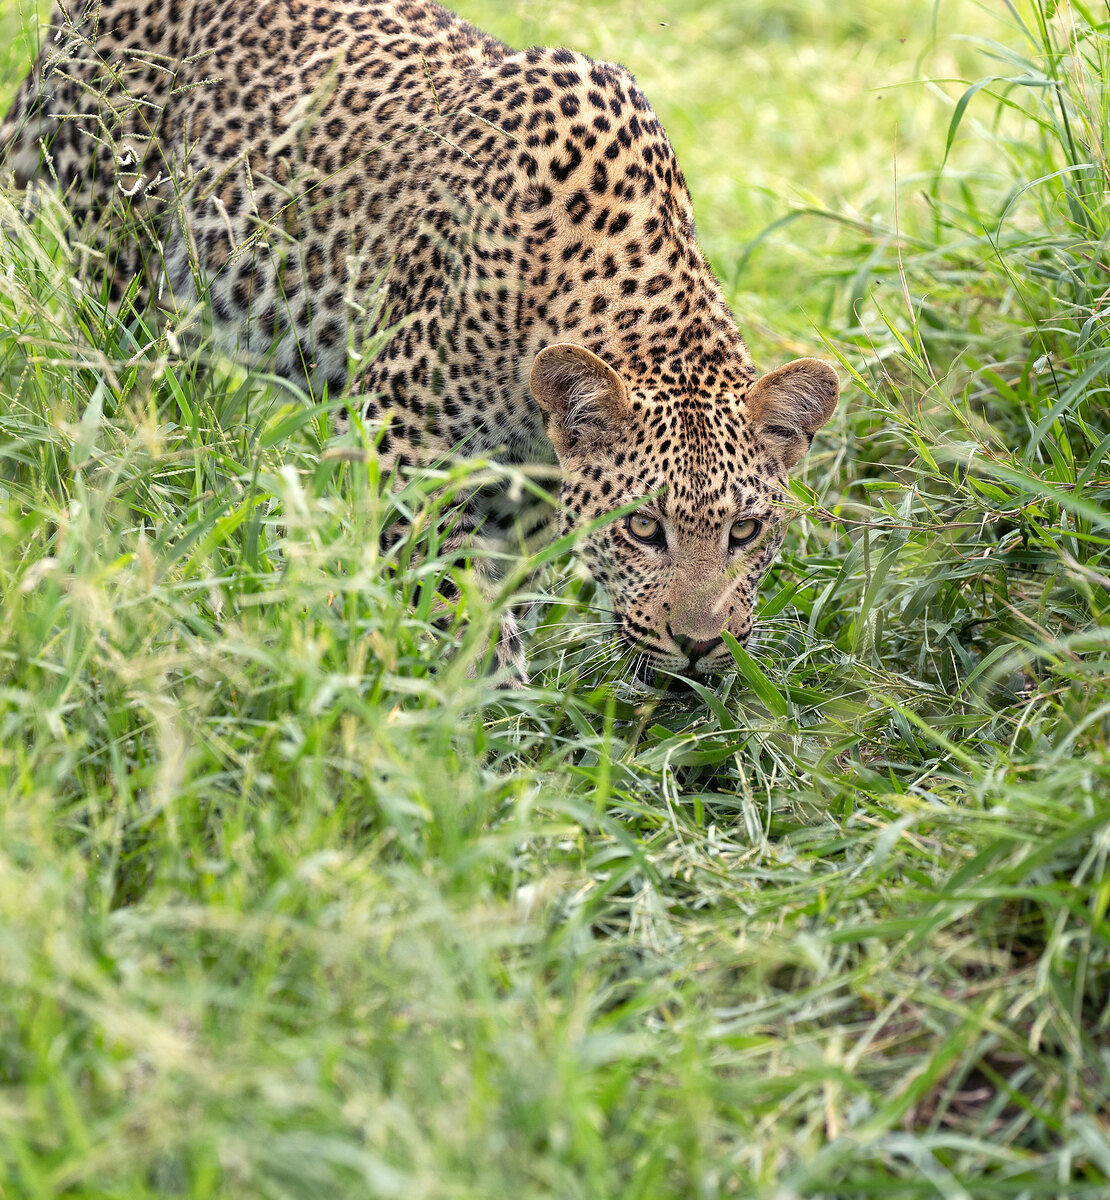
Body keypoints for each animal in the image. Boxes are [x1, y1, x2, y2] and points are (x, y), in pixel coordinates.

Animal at [1, 0, 840, 684]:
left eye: (745, 530)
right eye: (642, 527)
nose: (700, 647)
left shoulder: (527, 487)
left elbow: (503, 588)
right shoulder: (404, 437)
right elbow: (449, 587)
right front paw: (476, 710)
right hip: (120, 262)